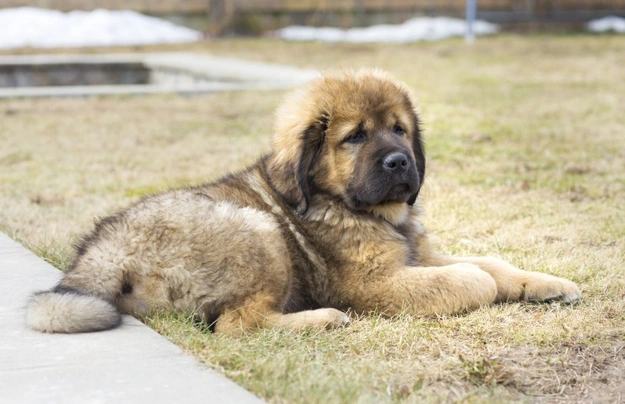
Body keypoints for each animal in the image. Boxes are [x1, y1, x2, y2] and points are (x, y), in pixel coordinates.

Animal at [25, 69, 580, 334]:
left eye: (399, 129)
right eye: (356, 137)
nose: (400, 162)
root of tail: (104, 249)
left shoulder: (419, 254)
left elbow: (492, 263)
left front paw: (547, 283)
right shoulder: (374, 284)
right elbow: (472, 277)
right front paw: (487, 283)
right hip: (257, 231)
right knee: (235, 325)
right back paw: (324, 319)